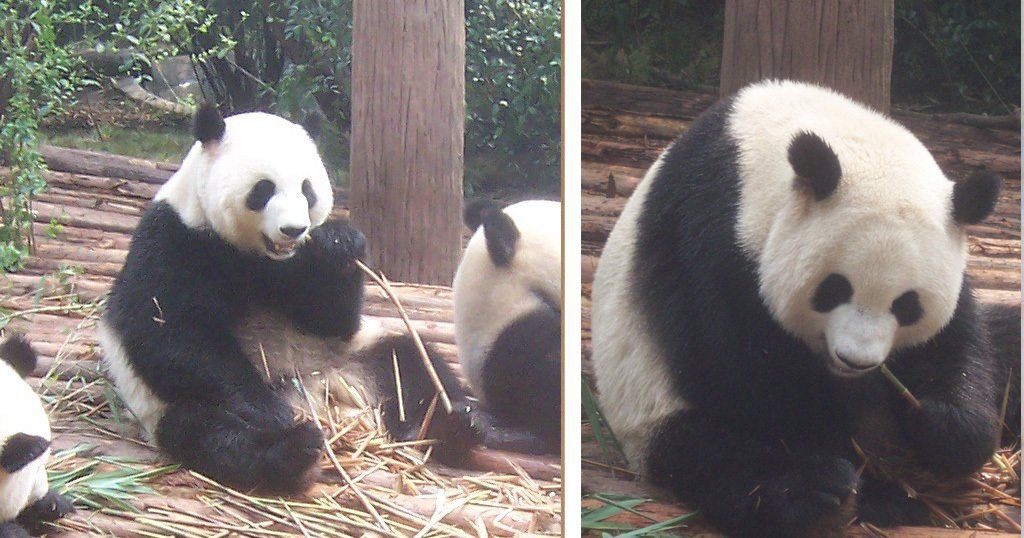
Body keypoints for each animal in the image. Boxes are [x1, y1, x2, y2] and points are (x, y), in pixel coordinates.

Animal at [99, 104, 481, 495]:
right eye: (263, 189)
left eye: (307, 190)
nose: (293, 229)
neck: (258, 256)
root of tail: (322, 396)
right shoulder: (175, 240)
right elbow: (168, 331)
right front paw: (270, 410)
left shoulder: (298, 266)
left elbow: (331, 318)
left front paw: (340, 245)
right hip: (170, 406)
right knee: (211, 431)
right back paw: (293, 450)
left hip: (354, 355)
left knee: (409, 364)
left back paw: (452, 424)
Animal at [591, 80, 1007, 537]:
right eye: (834, 289)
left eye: (907, 305)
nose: (856, 360)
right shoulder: (709, 237)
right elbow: (742, 374)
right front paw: (878, 484)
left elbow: (956, 341)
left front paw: (944, 429)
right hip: (647, 406)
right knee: (719, 458)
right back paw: (815, 492)